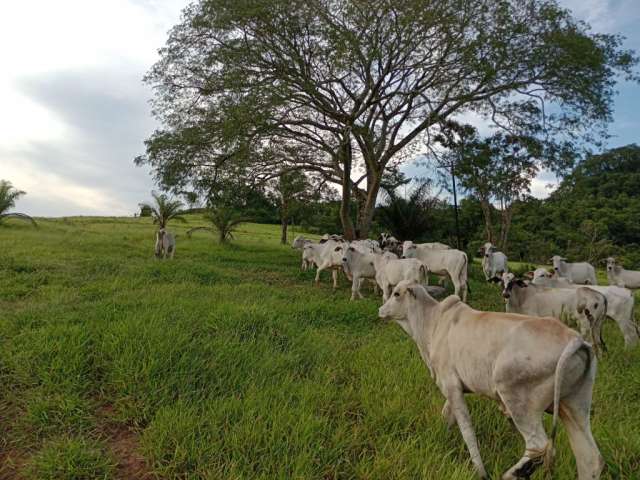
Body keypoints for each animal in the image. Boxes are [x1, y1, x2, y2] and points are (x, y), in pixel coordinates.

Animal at [380, 282, 604, 480]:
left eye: (397, 293)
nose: (381, 310)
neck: (433, 323)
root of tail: (575, 339)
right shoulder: (454, 388)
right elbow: (447, 417)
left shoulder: (451, 385)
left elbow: (467, 431)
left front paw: (481, 472)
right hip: (574, 406)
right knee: (590, 459)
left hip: (518, 401)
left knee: (539, 445)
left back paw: (512, 474)